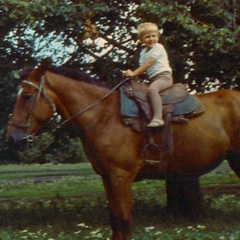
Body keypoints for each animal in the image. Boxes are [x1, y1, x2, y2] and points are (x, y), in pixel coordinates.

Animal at [6, 58, 240, 240]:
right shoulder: (107, 178)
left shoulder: (121, 177)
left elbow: (124, 220)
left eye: (27, 96)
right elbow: (115, 220)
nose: (12, 138)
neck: (104, 115)